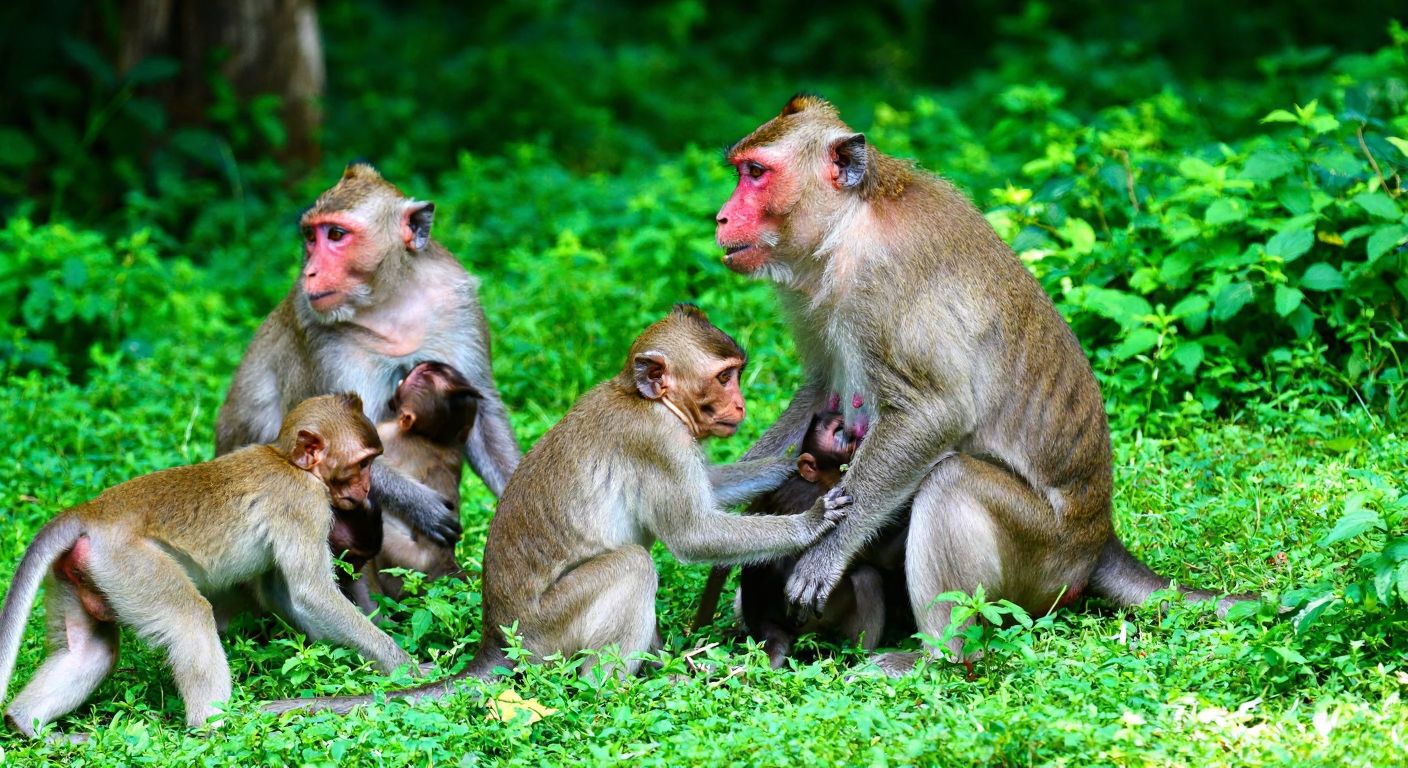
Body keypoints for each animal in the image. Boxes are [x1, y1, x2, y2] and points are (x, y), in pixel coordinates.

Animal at [0, 395, 417, 738]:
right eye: (363, 463)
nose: (366, 490)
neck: (288, 461)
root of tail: (92, 511)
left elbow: (281, 595)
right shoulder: (302, 502)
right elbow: (311, 593)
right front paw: (407, 669)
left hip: (78, 574)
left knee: (89, 651)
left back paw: (26, 724)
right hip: (130, 562)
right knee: (190, 617)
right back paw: (213, 725)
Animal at [215, 163, 521, 558]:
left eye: (336, 234)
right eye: (311, 237)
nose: (310, 272)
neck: (389, 301)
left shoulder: (458, 306)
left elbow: (483, 412)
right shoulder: (320, 338)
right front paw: (421, 505)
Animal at [262, 305, 845, 715]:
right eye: (725, 377)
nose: (741, 404)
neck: (646, 400)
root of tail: (496, 637)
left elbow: (711, 490)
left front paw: (791, 467)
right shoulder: (656, 442)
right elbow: (692, 535)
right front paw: (810, 522)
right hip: (547, 631)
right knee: (634, 566)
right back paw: (616, 693)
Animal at [714, 94, 1255, 675]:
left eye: (756, 173)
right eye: (741, 170)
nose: (720, 216)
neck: (848, 225)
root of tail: (1098, 539)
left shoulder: (886, 282)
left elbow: (935, 412)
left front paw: (823, 557)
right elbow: (820, 392)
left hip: (1044, 559)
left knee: (952, 480)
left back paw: (936, 658)